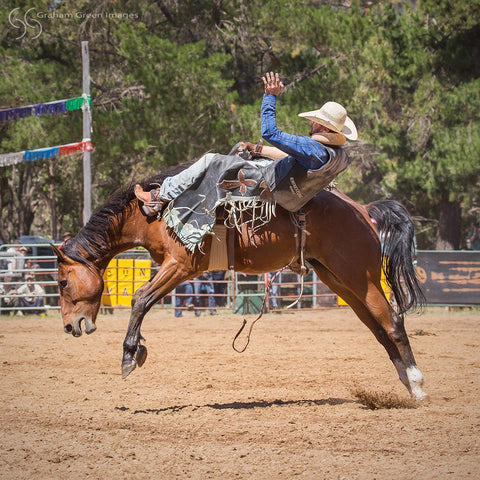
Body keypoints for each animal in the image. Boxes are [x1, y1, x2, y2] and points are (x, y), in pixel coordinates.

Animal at [53, 167, 428, 400]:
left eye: (62, 282)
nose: (71, 326)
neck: (153, 214)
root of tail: (363, 209)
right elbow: (143, 299)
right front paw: (137, 349)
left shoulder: (181, 265)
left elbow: (141, 298)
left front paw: (130, 355)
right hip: (339, 281)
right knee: (378, 328)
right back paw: (406, 384)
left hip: (360, 277)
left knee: (393, 322)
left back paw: (417, 383)